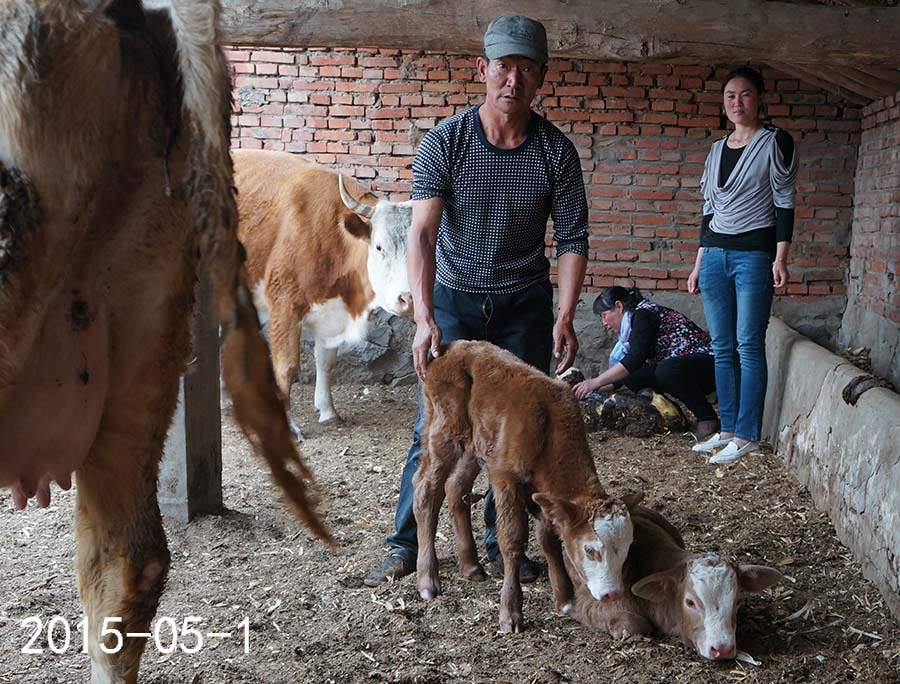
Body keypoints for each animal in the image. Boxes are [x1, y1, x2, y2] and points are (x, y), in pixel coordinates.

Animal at [232, 150, 414, 432]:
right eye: (379, 247)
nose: (408, 298)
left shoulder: (331, 312)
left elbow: (326, 360)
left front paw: (328, 410)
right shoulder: (284, 305)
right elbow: (286, 368)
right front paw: (289, 426)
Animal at [412, 340, 644, 632]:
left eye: (627, 546)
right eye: (590, 550)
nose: (612, 593)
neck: (549, 429)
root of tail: (450, 346)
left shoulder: (543, 492)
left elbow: (548, 538)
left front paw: (564, 598)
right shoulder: (505, 477)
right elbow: (512, 538)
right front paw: (510, 612)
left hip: (474, 446)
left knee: (456, 488)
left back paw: (471, 565)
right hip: (443, 432)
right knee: (425, 491)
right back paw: (427, 580)